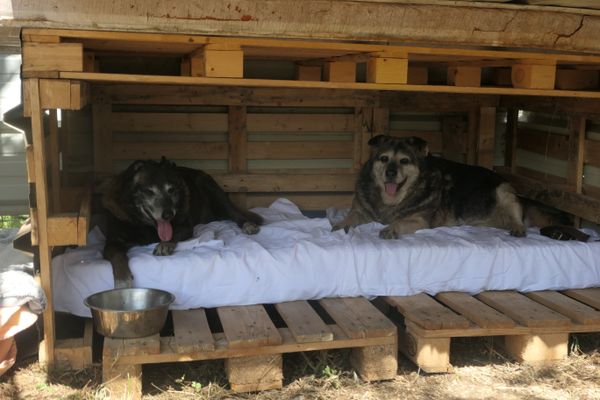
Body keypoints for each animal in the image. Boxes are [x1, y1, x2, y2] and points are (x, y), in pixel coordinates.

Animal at [99, 158, 262, 290]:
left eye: (171, 190)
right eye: (149, 191)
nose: (168, 214)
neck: (144, 224)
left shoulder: (185, 227)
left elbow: (172, 236)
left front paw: (164, 244)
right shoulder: (112, 242)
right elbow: (118, 257)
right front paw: (122, 282)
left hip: (214, 191)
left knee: (234, 213)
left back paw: (248, 224)